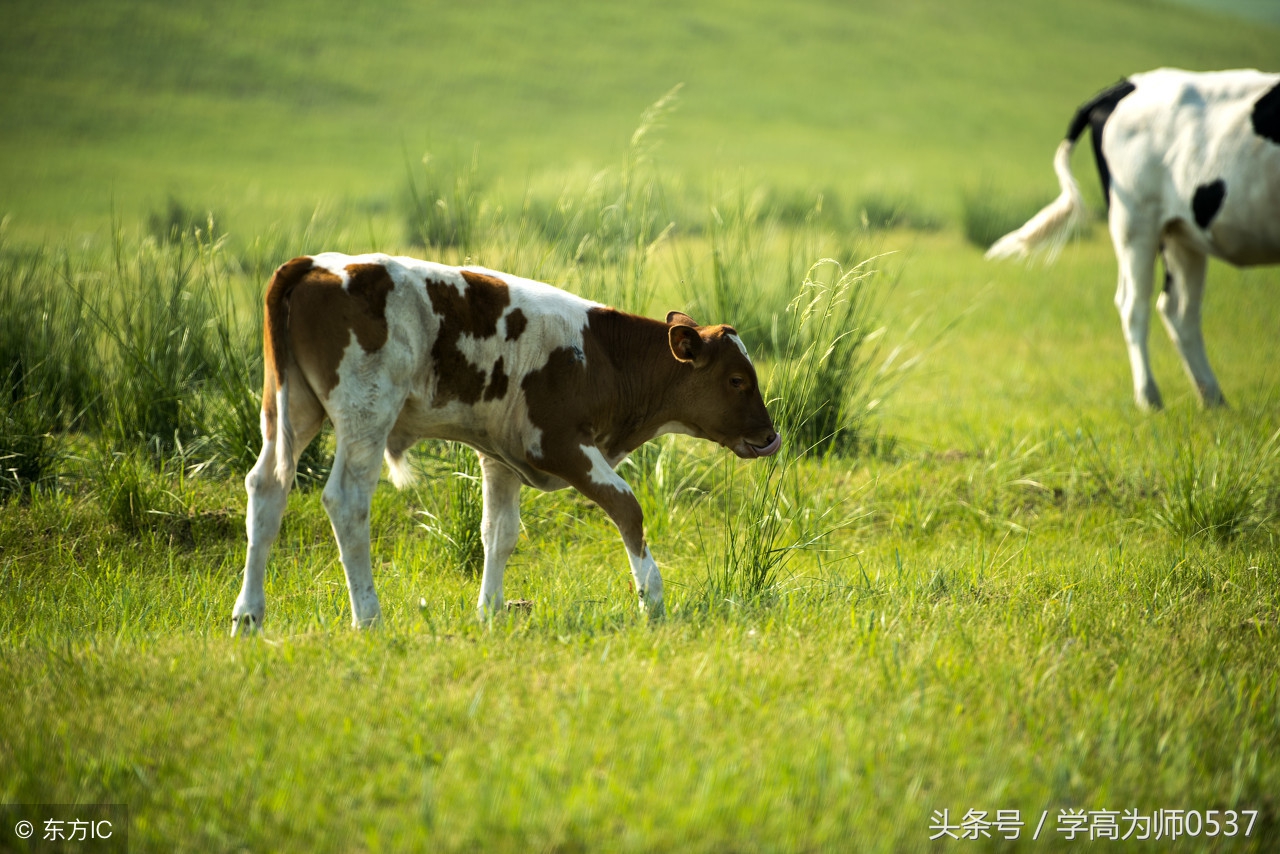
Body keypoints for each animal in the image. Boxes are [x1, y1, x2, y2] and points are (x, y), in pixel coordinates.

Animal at [235, 250, 783, 632]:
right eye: (737, 380)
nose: (770, 436)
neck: (602, 357)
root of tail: (316, 264)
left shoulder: (500, 457)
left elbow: (498, 534)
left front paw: (489, 611)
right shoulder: (559, 443)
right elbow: (627, 508)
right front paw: (652, 597)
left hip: (290, 407)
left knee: (267, 489)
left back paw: (248, 616)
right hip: (365, 414)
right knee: (347, 501)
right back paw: (368, 616)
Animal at [988, 68, 1280, 409]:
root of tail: (1122, 85)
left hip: (1180, 233)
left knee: (1179, 310)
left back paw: (1213, 401)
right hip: (1136, 222)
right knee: (1136, 305)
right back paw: (1151, 398)